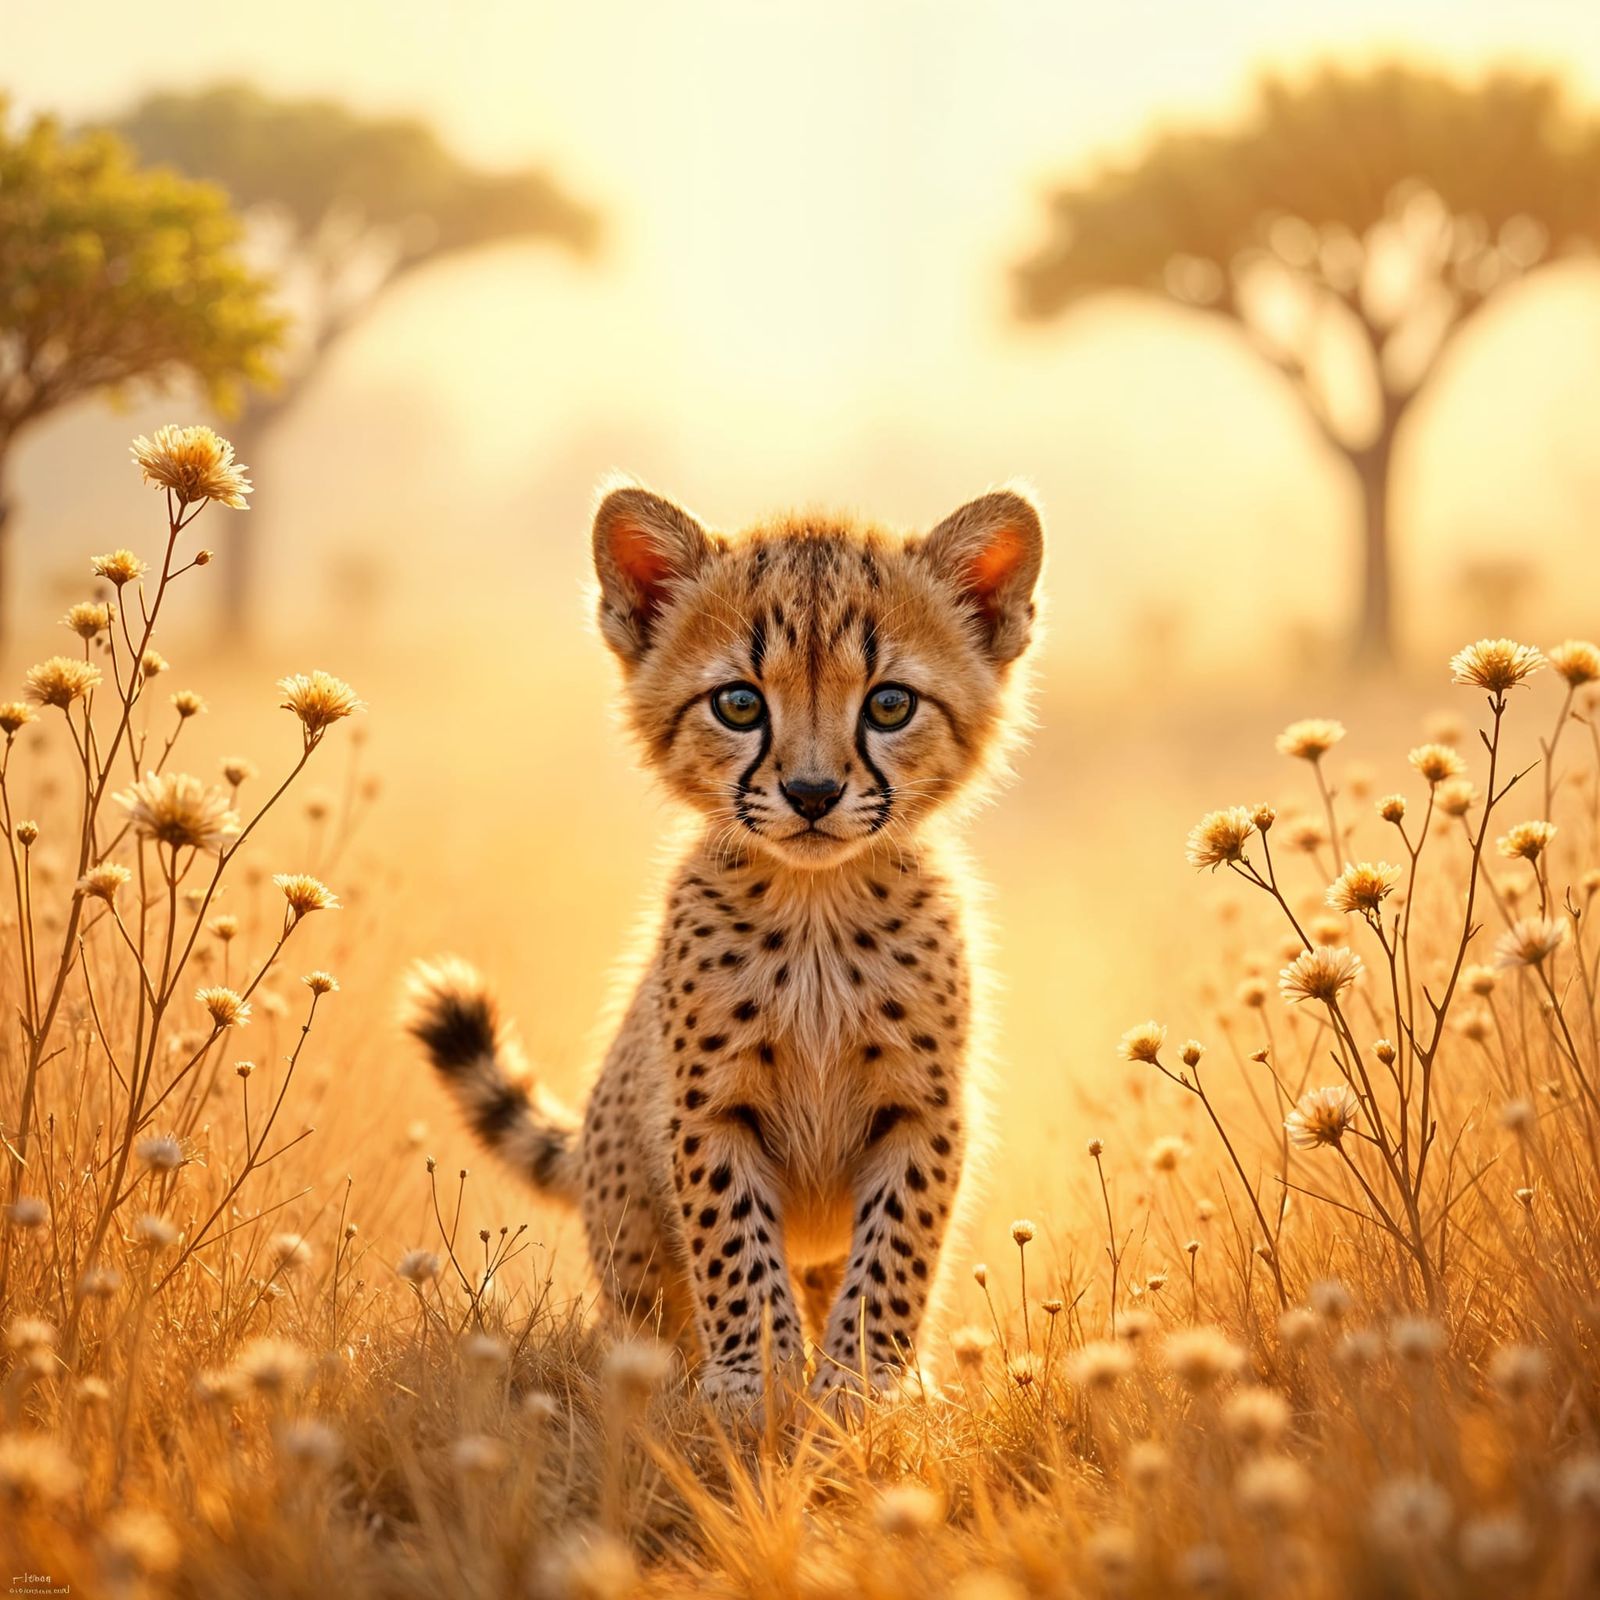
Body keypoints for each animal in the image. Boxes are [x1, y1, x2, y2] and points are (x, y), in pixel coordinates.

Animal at [404, 479, 1043, 1413]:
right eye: (739, 704)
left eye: (889, 704)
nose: (812, 793)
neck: (816, 905)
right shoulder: (710, 1109)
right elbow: (733, 1246)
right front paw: (755, 1388)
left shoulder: (922, 1111)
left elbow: (895, 1252)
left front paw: (861, 1389)